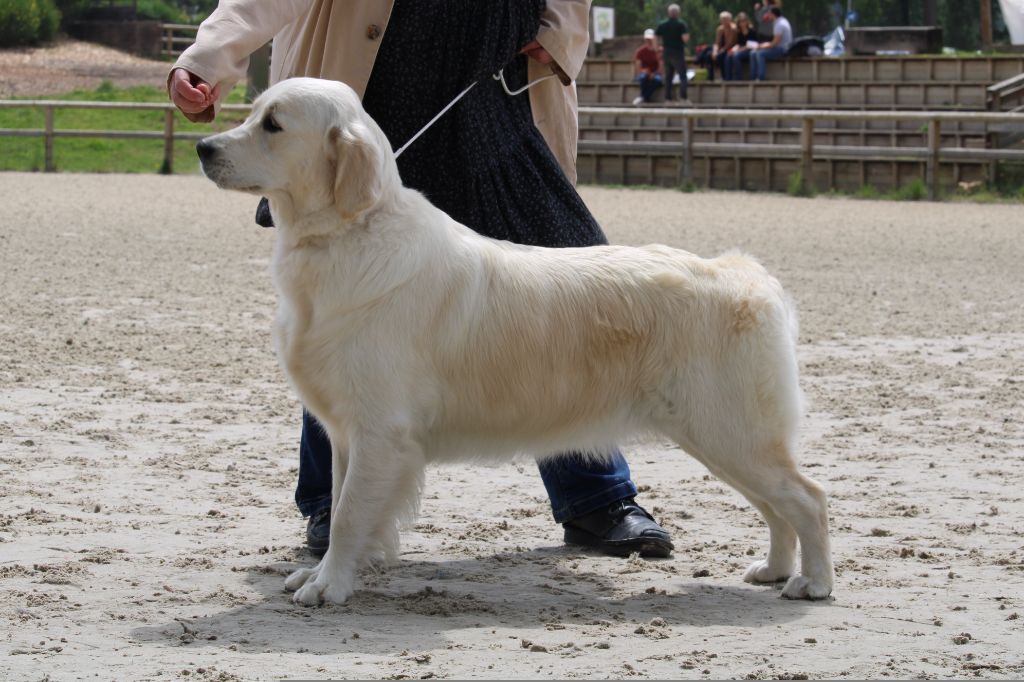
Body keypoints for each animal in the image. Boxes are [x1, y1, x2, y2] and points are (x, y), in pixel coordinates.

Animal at [197, 76, 831, 602]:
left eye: (273, 124)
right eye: (252, 112)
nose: (203, 147)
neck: (348, 237)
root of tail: (742, 273)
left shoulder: (381, 431)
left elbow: (351, 512)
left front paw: (328, 586)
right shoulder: (348, 433)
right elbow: (343, 507)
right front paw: (332, 569)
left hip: (729, 430)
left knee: (808, 499)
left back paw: (813, 583)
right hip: (723, 437)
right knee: (778, 507)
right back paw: (773, 569)